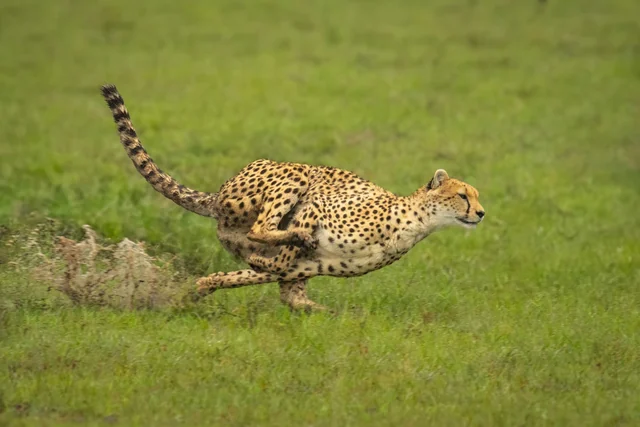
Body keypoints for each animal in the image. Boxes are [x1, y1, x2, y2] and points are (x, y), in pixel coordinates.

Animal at [101, 84, 485, 311]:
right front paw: (294, 243)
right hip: (293, 175)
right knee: (260, 228)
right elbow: (283, 256)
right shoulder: (316, 207)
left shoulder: (306, 270)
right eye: (463, 195)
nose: (481, 213)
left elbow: (288, 290)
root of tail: (218, 194)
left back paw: (204, 287)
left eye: (477, 196)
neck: (416, 221)